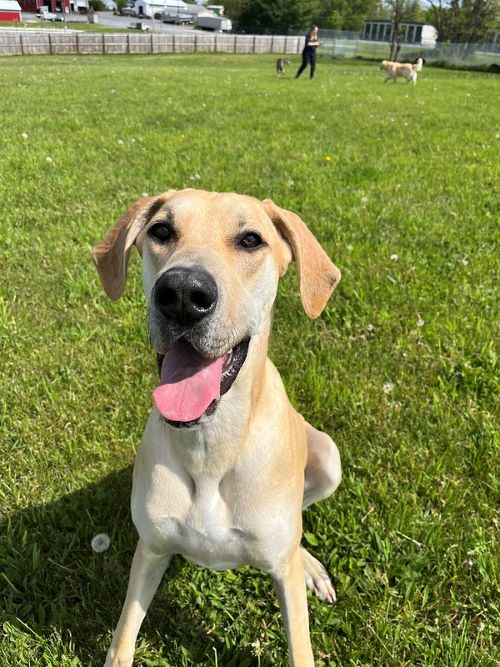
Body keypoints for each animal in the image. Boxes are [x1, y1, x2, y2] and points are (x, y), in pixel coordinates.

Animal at [92, 189, 342, 667]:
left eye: (251, 240)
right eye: (162, 230)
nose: (182, 293)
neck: (212, 445)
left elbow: (300, 646)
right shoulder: (150, 551)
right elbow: (122, 640)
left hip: (328, 456)